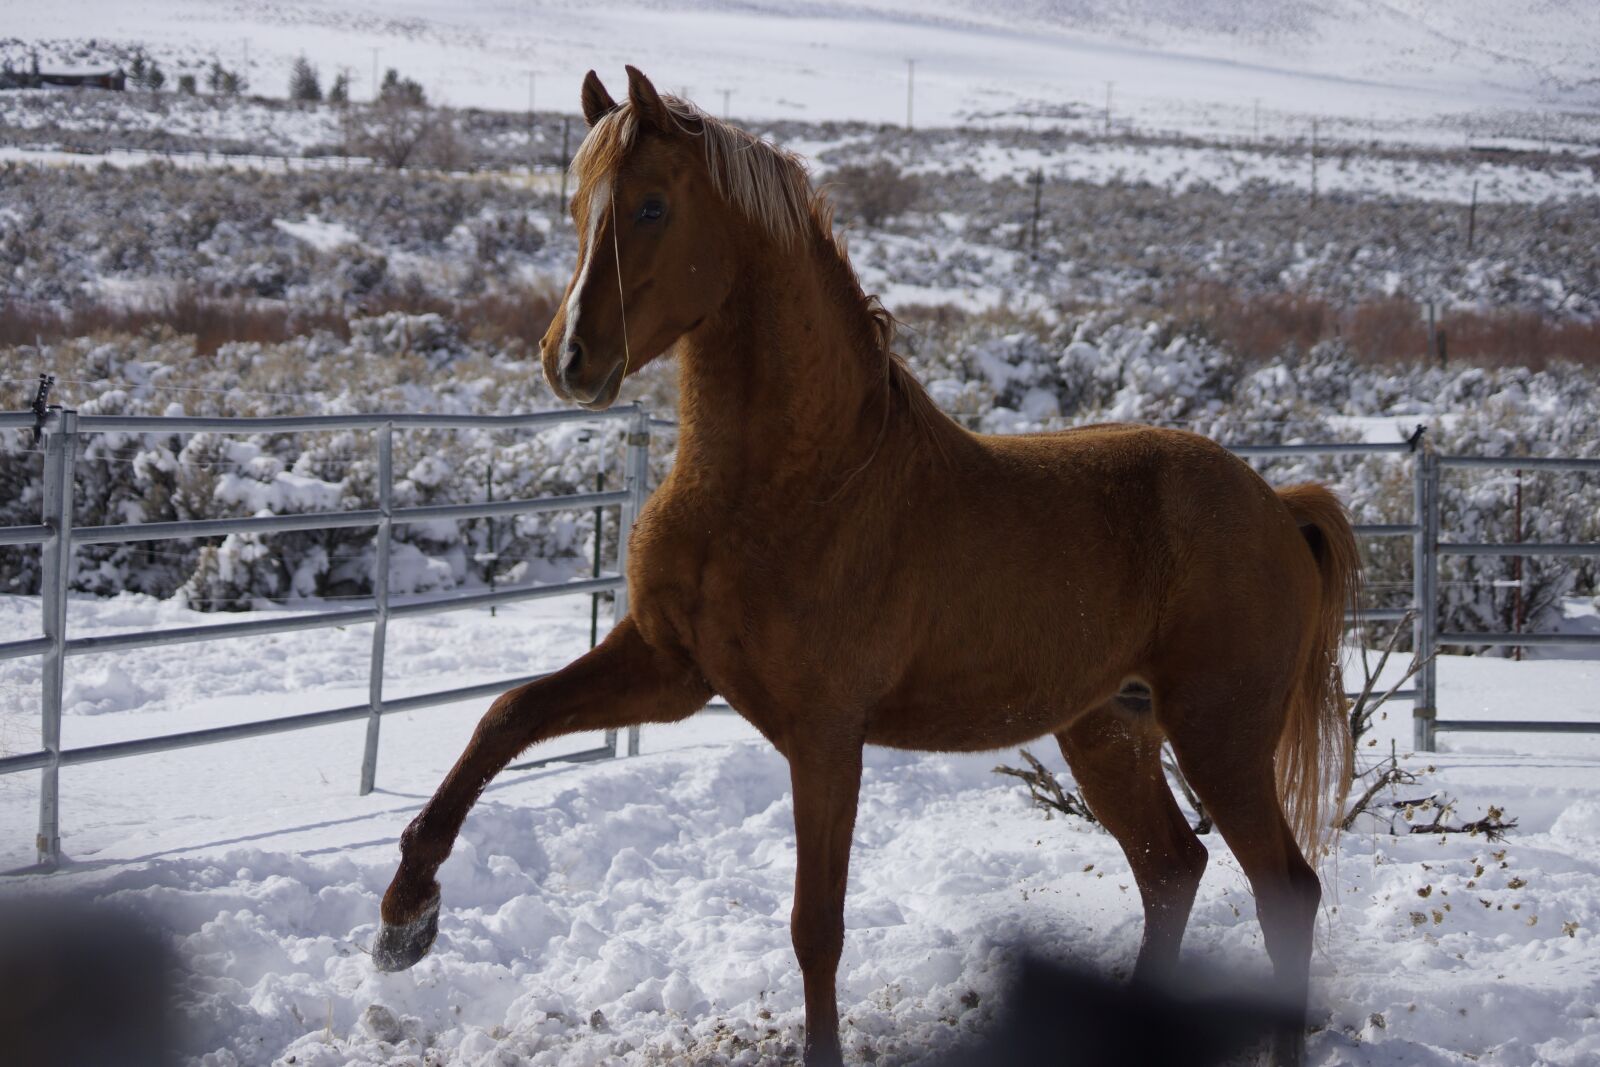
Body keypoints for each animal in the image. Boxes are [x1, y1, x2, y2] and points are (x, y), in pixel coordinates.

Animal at [377, 68, 1363, 1067]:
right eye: (578, 205)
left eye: (652, 205)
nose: (569, 360)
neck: (797, 482)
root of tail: (1276, 504)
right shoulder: (670, 667)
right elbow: (507, 714)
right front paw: (405, 916)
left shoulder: (824, 734)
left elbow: (818, 927)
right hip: (1109, 731)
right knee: (1173, 869)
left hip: (1218, 735)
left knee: (1284, 890)